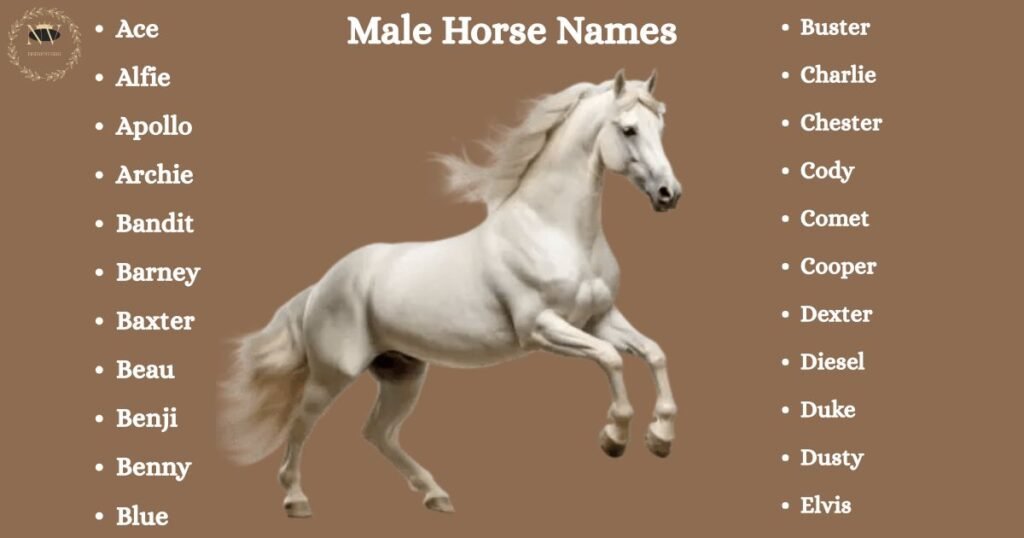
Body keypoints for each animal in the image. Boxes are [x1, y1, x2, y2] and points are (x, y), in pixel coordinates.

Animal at [220, 69, 683, 517]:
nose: (669, 194)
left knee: (377, 432)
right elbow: (611, 360)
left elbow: (654, 353)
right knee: (302, 423)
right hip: (333, 374)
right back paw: (296, 500)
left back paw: (435, 495)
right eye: (628, 129)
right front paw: (614, 437)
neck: (554, 231)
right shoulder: (542, 328)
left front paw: (660, 437)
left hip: (402, 372)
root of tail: (321, 285)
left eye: (661, 124)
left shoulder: (599, 318)